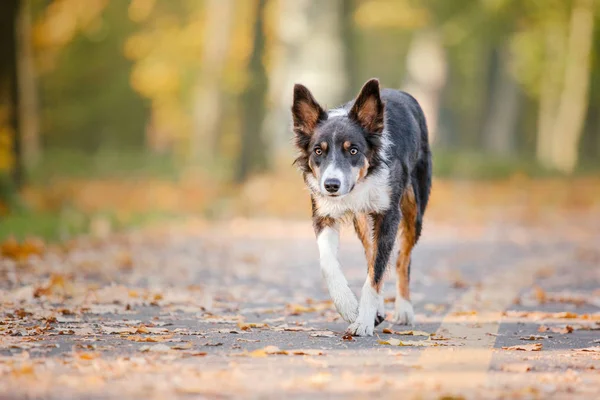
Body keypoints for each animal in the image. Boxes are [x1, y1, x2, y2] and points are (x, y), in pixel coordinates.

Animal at [292, 77, 428, 334]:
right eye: (318, 151)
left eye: (353, 150)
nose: (331, 185)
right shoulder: (323, 215)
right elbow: (329, 264)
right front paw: (348, 307)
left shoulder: (388, 216)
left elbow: (377, 272)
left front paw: (363, 321)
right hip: (363, 220)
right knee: (371, 253)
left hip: (414, 209)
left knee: (401, 259)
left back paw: (404, 309)